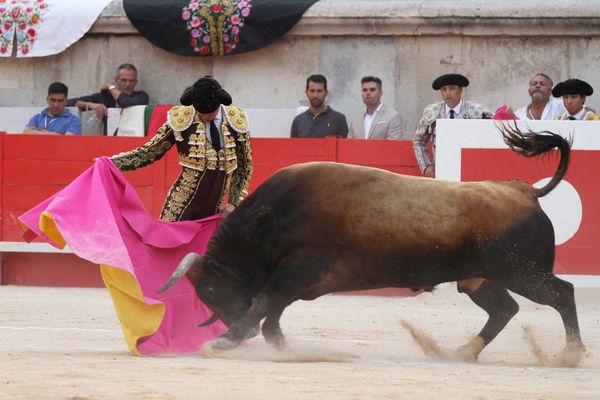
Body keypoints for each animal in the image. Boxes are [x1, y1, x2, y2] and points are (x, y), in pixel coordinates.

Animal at [157, 126, 584, 364]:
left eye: (211, 290)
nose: (234, 331)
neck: (273, 218)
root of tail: (524, 191)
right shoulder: (297, 281)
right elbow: (272, 315)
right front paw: (282, 348)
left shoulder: (298, 271)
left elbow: (263, 305)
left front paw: (222, 342)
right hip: (480, 278)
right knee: (505, 309)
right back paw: (461, 352)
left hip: (521, 271)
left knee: (562, 292)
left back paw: (570, 354)